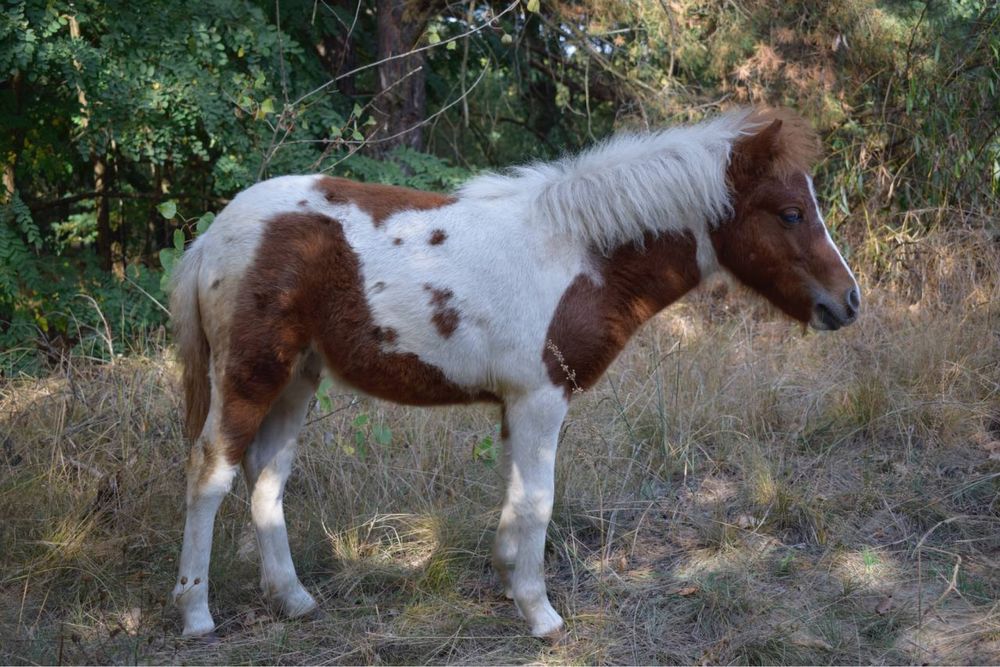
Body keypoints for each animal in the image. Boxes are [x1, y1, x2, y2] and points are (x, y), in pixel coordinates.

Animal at [170, 107, 860, 640]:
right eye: (791, 213)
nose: (848, 302)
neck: (579, 256)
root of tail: (213, 236)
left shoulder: (514, 404)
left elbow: (511, 496)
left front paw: (508, 582)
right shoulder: (540, 398)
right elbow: (537, 500)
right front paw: (541, 614)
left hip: (297, 380)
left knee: (266, 476)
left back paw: (293, 600)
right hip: (252, 374)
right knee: (210, 473)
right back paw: (196, 614)